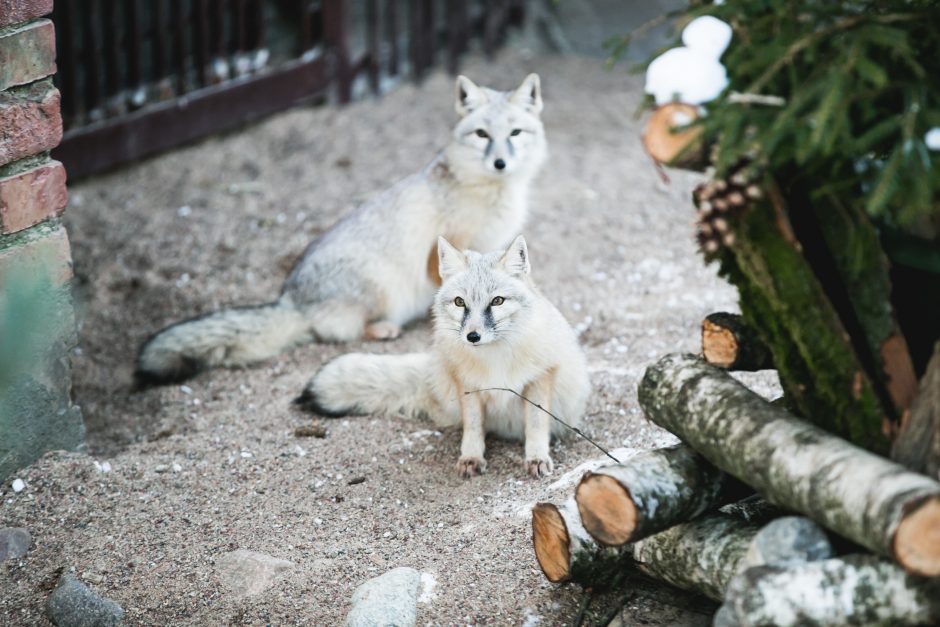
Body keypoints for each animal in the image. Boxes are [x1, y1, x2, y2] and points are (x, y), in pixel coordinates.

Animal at [131, 74, 544, 388]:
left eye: (515, 133)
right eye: (481, 135)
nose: (500, 162)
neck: (489, 192)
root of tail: (291, 297)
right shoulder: (444, 250)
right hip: (381, 286)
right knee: (341, 330)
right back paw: (383, 329)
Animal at [298, 237, 592, 480]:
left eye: (497, 301)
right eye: (460, 303)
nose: (473, 336)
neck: (494, 361)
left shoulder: (541, 377)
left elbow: (536, 425)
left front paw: (536, 457)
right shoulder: (468, 384)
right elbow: (473, 427)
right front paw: (471, 457)